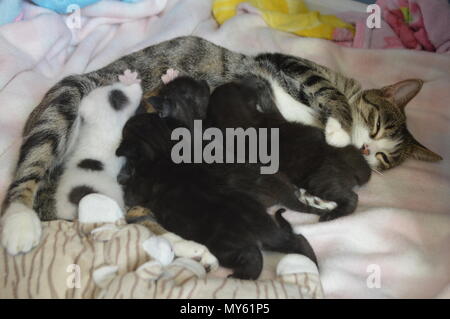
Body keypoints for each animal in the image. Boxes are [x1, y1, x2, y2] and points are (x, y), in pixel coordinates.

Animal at [118, 114, 318, 280]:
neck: (163, 149)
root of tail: (258, 230)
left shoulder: (139, 187)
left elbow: (131, 195)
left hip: (224, 246)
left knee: (253, 256)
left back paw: (241, 276)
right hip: (272, 231)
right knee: (297, 240)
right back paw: (311, 263)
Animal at [208, 82, 372, 221]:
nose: (244, 82)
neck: (240, 118)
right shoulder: (275, 117)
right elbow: (273, 107)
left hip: (319, 181)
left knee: (352, 198)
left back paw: (331, 215)